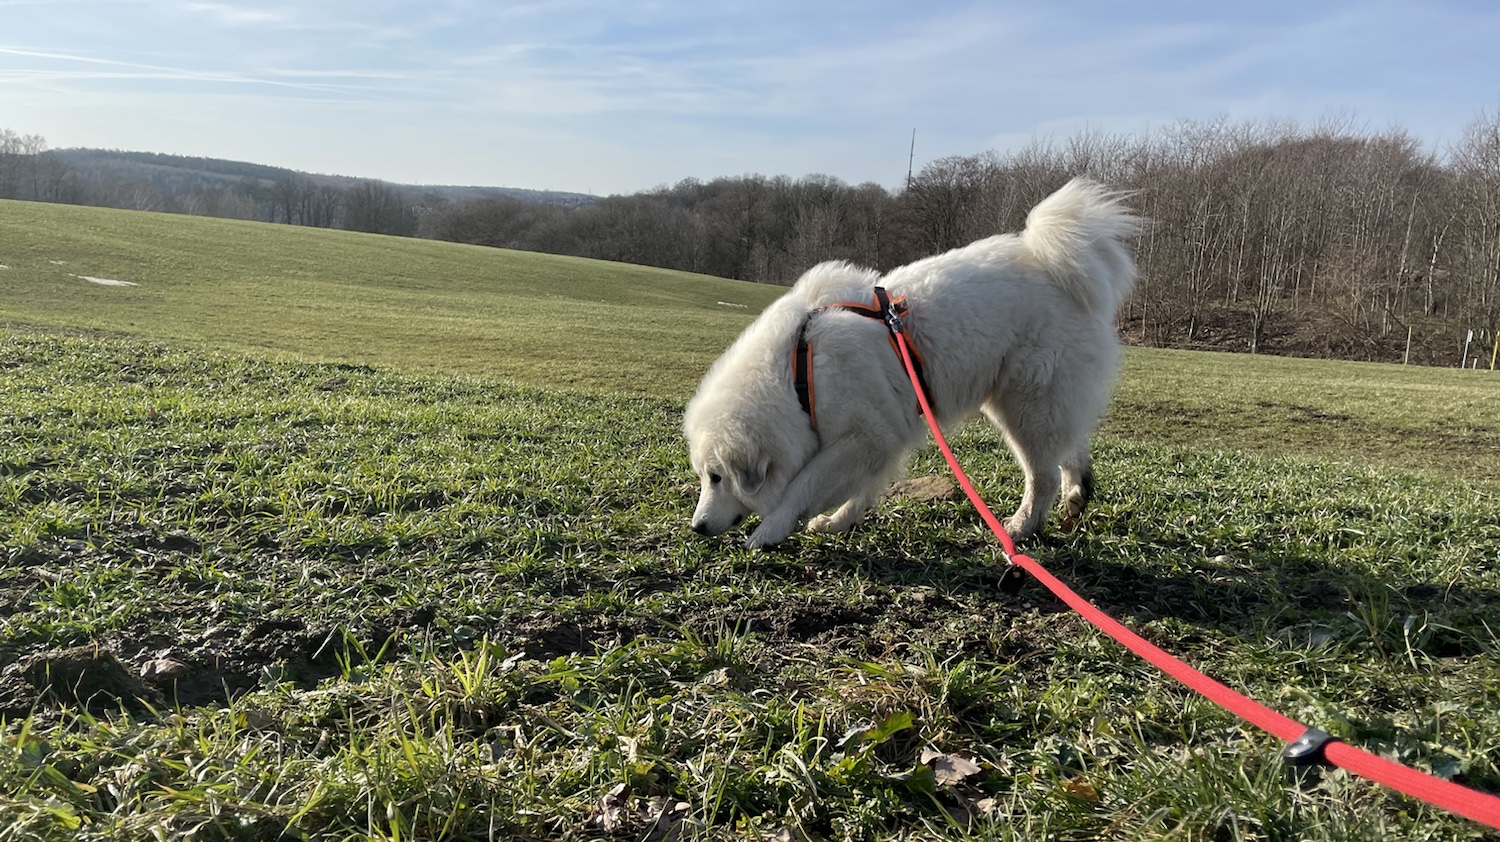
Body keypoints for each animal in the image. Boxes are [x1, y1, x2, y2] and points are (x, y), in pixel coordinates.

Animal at [684, 178, 1141, 549]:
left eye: (716, 477)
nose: (697, 527)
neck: (799, 374)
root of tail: (1053, 265)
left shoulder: (864, 437)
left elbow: (803, 486)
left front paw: (770, 531)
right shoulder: (881, 439)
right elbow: (863, 491)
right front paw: (838, 522)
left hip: (1026, 407)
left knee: (1043, 474)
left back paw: (1020, 527)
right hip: (1038, 403)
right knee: (1070, 448)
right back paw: (1076, 496)